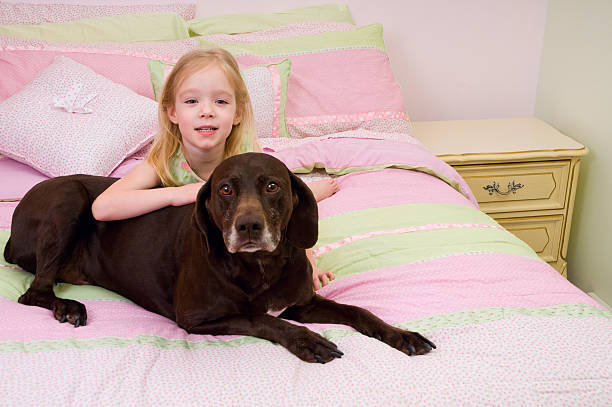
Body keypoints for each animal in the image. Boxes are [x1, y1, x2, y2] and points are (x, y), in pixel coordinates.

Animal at [4, 153, 436, 364]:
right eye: (226, 189)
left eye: (272, 186)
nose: (248, 226)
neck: (261, 266)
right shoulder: (198, 319)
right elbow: (261, 318)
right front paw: (307, 340)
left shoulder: (303, 304)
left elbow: (360, 312)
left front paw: (402, 334)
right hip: (68, 198)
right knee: (32, 293)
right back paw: (67, 307)